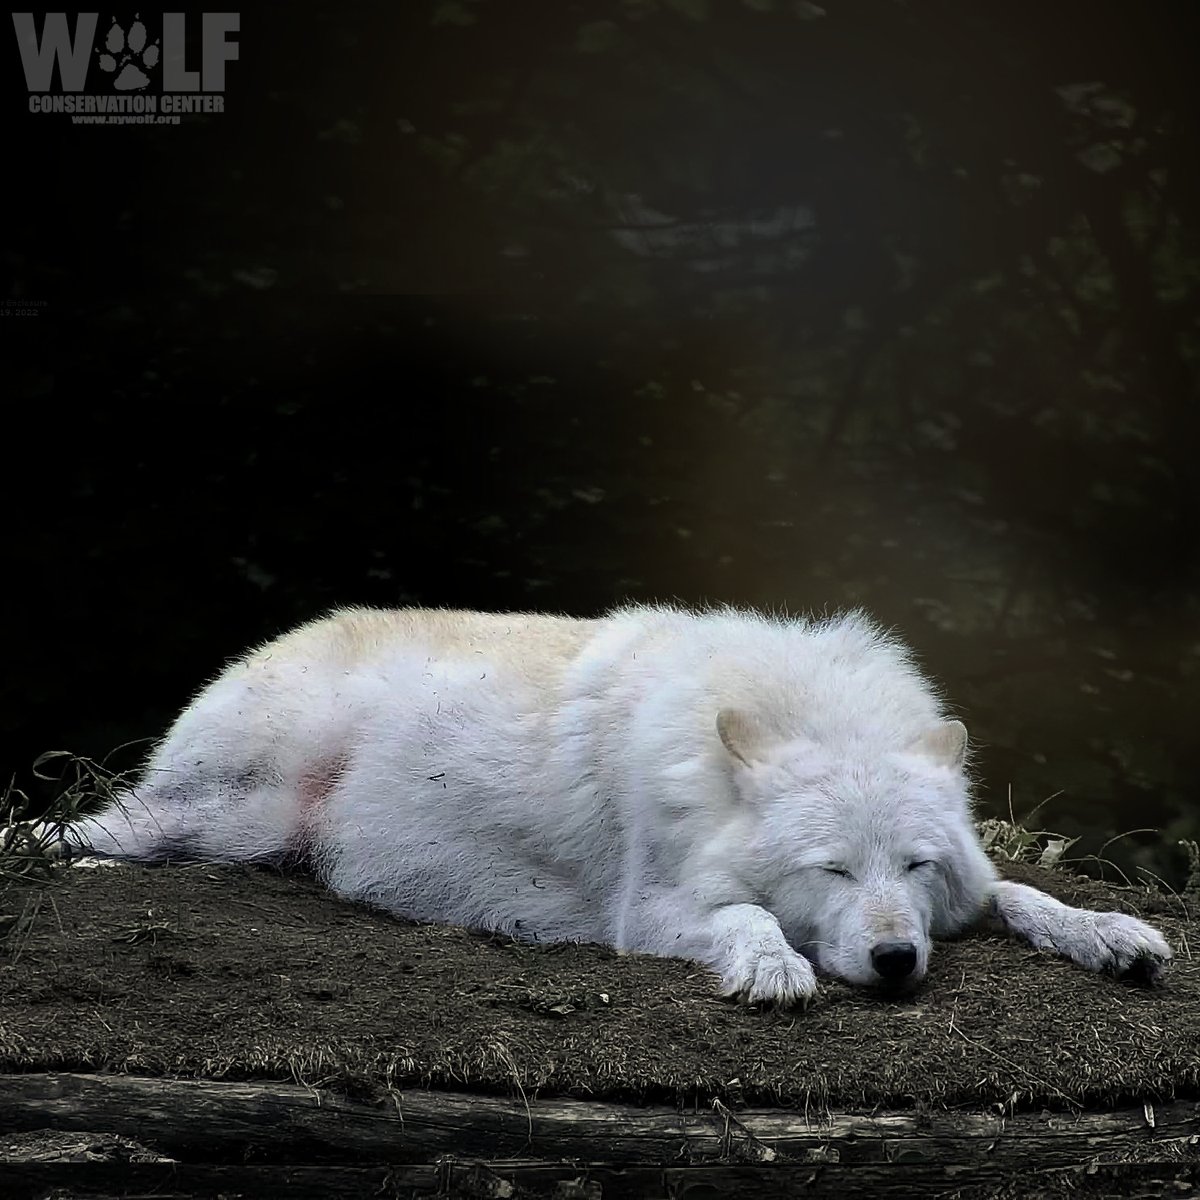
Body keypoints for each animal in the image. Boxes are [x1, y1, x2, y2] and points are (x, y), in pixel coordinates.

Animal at [58, 605, 1170, 1003]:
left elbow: (1023, 893)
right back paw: (73, 856)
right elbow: (750, 914)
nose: (898, 961)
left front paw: (1111, 933)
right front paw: (772, 969)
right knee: (66, 828)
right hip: (225, 815)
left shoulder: (966, 889)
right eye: (833, 871)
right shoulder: (650, 910)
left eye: (914, 868)